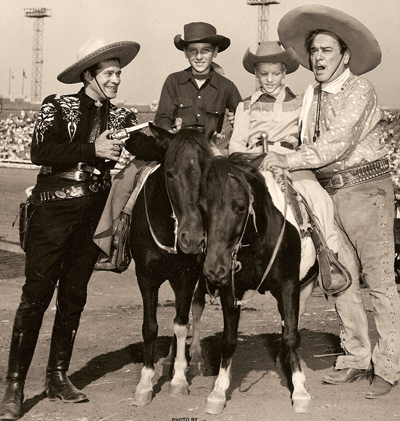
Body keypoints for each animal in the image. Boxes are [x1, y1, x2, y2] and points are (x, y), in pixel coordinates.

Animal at [130, 124, 214, 404]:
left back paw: (195, 358)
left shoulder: (188, 275)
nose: (193, 238)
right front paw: (145, 384)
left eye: (208, 175)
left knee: (195, 309)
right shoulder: (145, 275)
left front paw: (179, 379)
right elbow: (150, 327)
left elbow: (181, 324)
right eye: (169, 173)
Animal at [197, 154, 312, 414]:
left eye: (240, 207)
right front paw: (218, 392)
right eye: (202, 206)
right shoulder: (230, 290)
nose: (213, 269)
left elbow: (292, 335)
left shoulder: (289, 286)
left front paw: (300, 391)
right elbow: (228, 341)